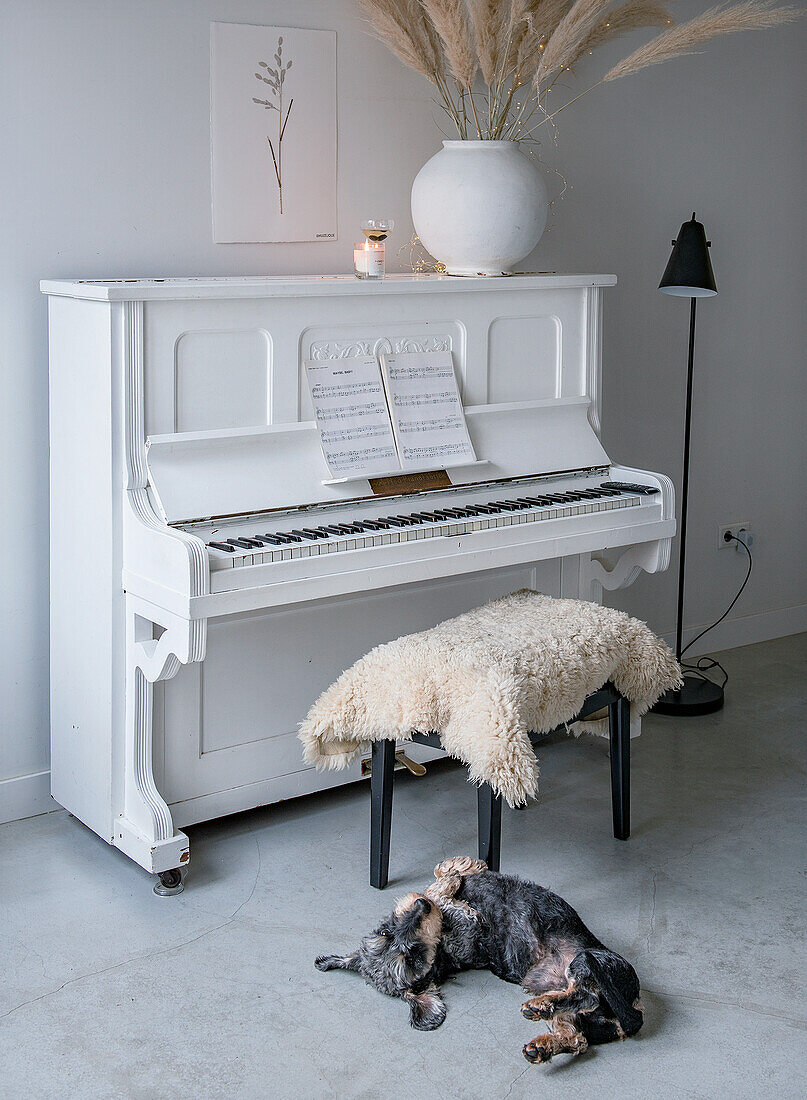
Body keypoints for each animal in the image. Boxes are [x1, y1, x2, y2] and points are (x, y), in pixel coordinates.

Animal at [316, 858, 646, 1064]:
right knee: (583, 1007)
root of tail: (630, 1014)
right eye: (413, 955)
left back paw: (541, 1041)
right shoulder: (467, 918)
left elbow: (440, 877)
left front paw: (460, 869)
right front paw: (454, 874)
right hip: (586, 964)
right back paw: (542, 1016)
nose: (420, 906)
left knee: (578, 1032)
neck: (443, 949)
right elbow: (442, 888)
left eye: (386, 932)